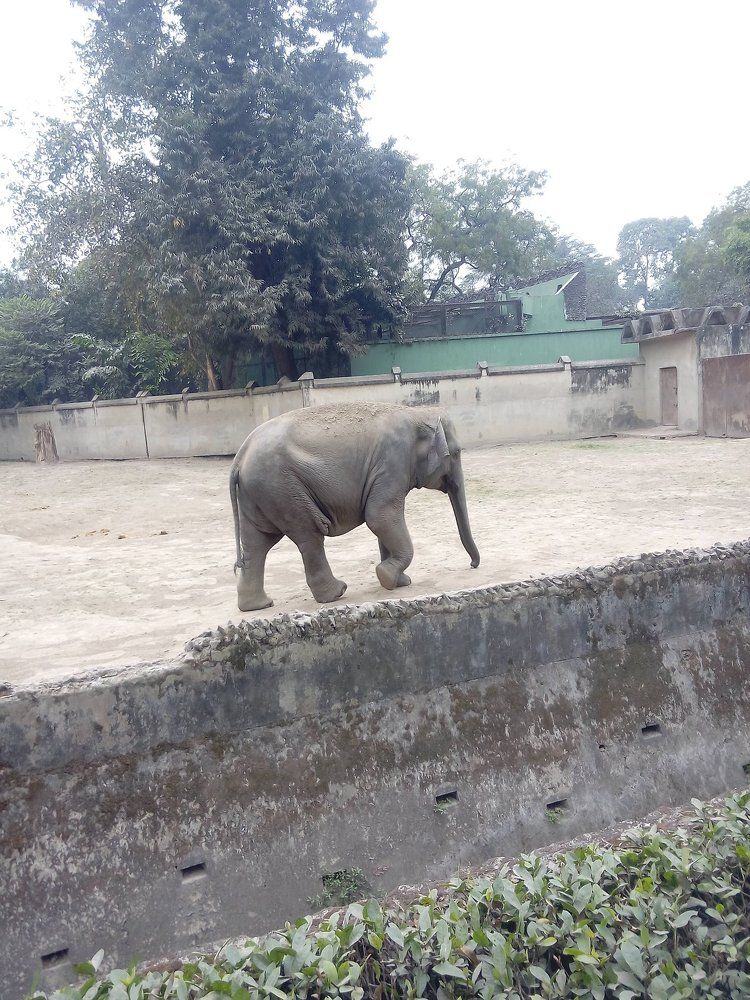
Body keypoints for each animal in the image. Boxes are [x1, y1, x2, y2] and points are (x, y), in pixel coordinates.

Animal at [229, 401, 480, 612]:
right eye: (457, 452)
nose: (472, 564)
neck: (417, 412)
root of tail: (239, 457)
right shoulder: (392, 462)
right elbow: (379, 516)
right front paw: (386, 576)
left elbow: (383, 523)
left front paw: (399, 581)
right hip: (282, 488)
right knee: (309, 536)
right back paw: (336, 593)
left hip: (260, 493)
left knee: (257, 543)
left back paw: (258, 605)